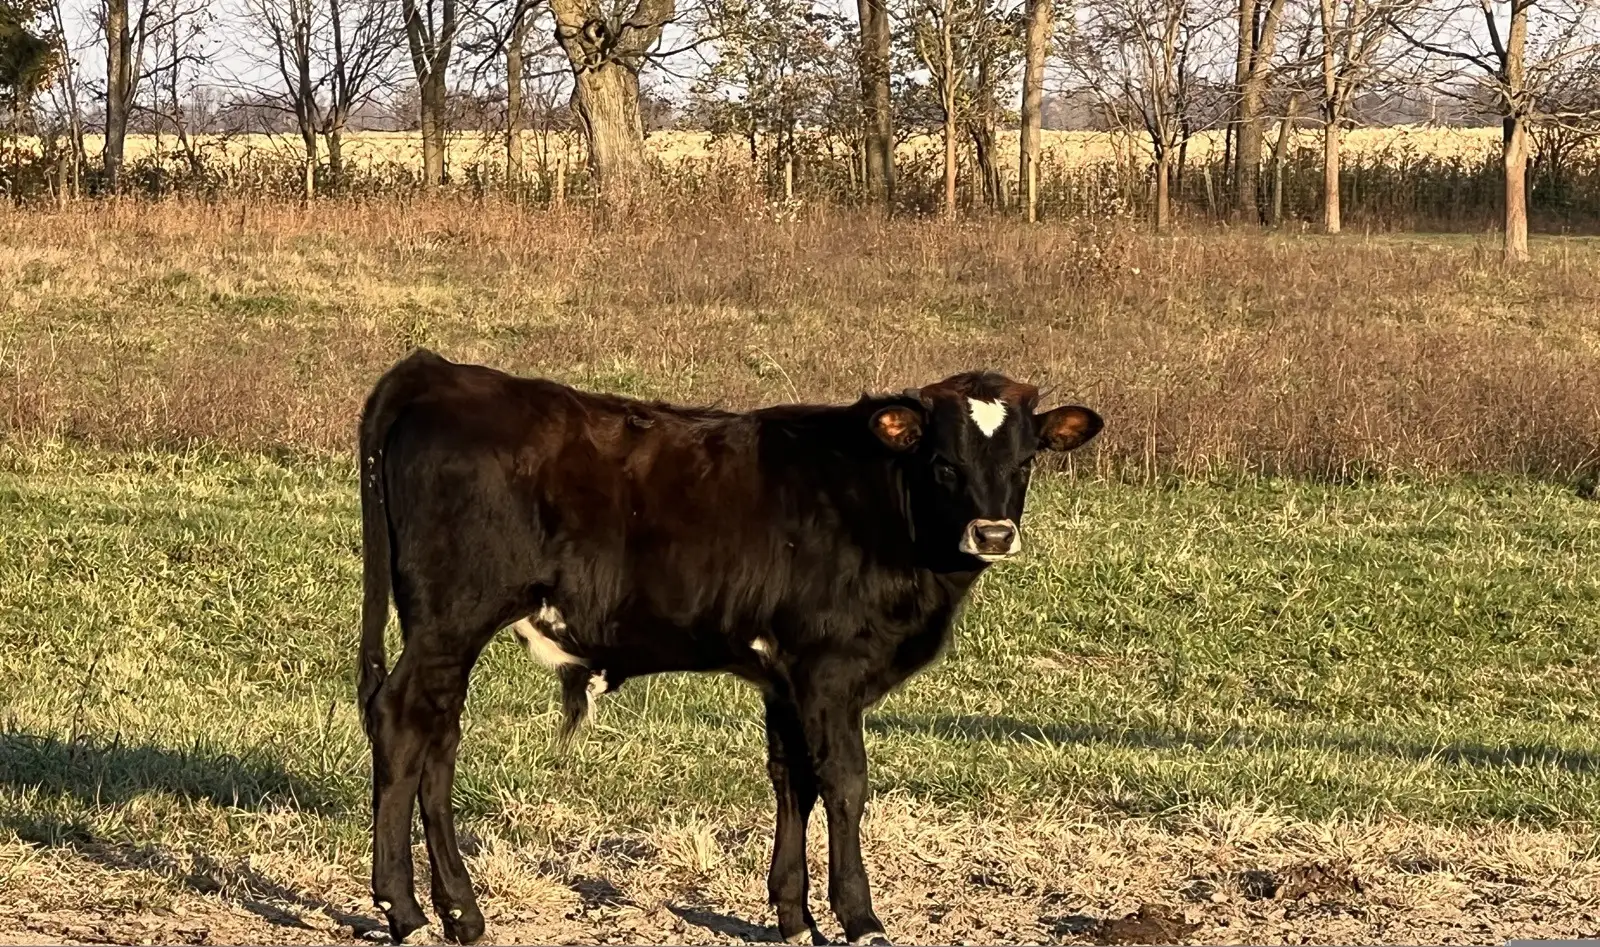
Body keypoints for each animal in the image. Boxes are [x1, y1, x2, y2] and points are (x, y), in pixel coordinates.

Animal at [355, 349, 1103, 946]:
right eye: (944, 463)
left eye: (1026, 461)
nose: (994, 533)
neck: (881, 503)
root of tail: (439, 370)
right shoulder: (829, 669)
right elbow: (845, 783)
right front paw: (860, 918)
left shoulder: (786, 677)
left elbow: (793, 780)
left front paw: (795, 917)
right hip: (452, 619)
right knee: (401, 723)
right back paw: (406, 912)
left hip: (447, 635)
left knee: (437, 739)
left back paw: (460, 912)